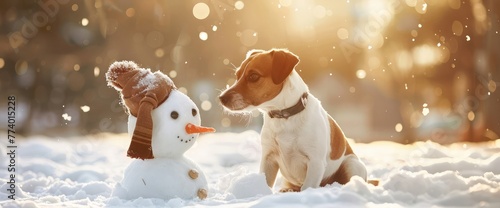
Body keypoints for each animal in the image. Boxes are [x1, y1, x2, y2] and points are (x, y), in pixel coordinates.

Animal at [218, 48, 368, 192]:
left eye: (253, 76)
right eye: (237, 75)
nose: (221, 98)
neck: (284, 117)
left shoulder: (315, 162)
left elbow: (307, 187)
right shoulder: (268, 158)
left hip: (352, 165)